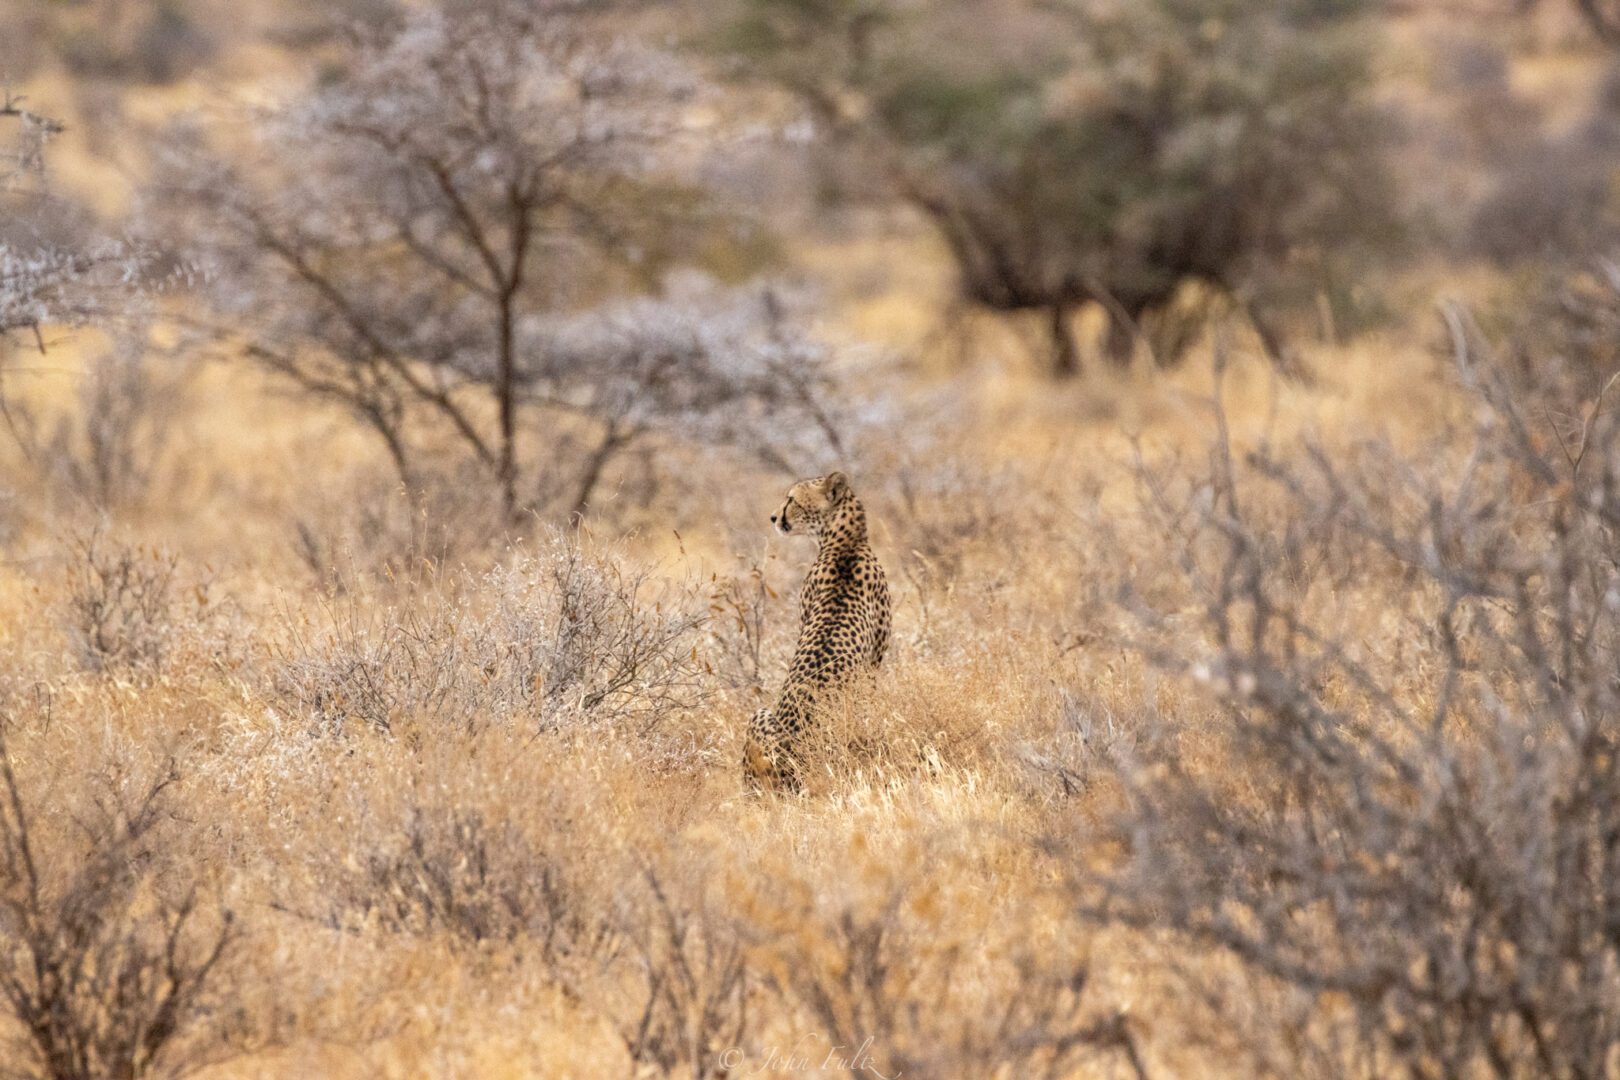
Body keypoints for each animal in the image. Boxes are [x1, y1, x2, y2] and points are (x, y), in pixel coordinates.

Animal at [741, 469, 894, 790]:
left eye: (791, 499)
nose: (773, 517)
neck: (847, 542)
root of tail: (790, 759)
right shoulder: (874, 664)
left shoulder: (874, 661)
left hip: (760, 715)